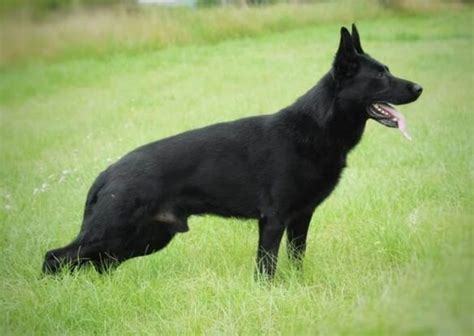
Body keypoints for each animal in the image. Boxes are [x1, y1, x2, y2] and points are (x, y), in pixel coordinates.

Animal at [43, 24, 422, 278]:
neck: (318, 126)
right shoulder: (273, 219)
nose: (419, 87)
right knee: (55, 257)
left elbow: (297, 259)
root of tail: (108, 172)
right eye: (381, 77)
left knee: (99, 263)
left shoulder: (301, 218)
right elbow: (266, 267)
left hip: (144, 238)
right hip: (114, 231)